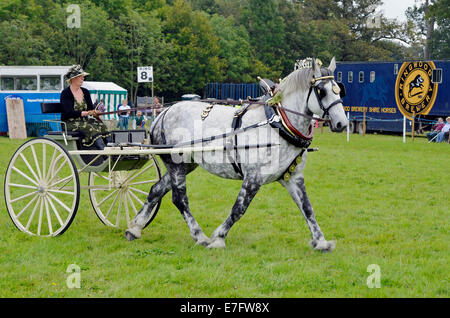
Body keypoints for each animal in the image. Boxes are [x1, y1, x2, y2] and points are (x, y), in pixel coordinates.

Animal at [125, 57, 350, 251]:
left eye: (339, 91)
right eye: (321, 91)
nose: (342, 123)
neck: (278, 124)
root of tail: (162, 113)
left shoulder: (293, 177)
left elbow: (308, 209)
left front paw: (321, 241)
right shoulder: (253, 178)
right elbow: (239, 208)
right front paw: (218, 238)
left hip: (186, 165)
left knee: (156, 190)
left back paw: (134, 228)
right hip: (176, 164)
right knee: (179, 199)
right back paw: (199, 235)